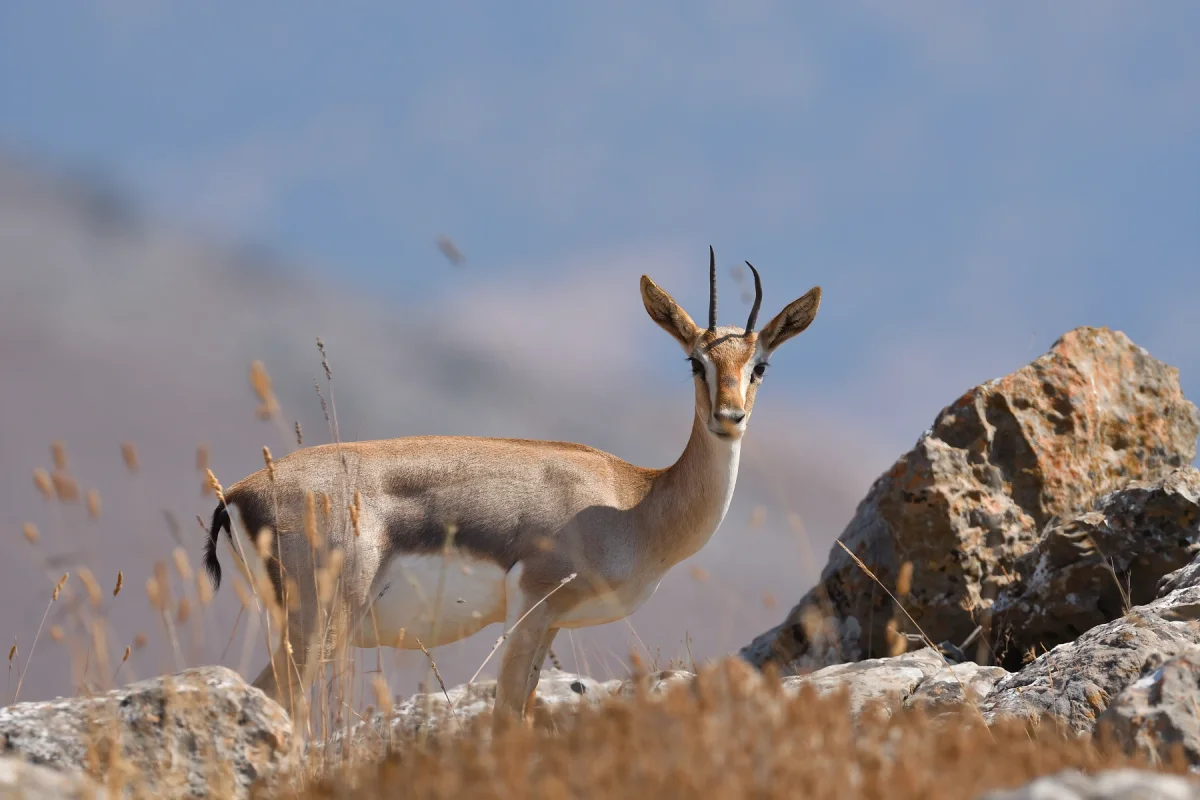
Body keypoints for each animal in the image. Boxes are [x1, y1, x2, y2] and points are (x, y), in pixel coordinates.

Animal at [203, 248, 821, 725]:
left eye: (759, 365)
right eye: (695, 362)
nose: (729, 417)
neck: (633, 502)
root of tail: (237, 492)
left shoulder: (549, 626)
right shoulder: (529, 611)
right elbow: (505, 720)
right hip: (316, 629)